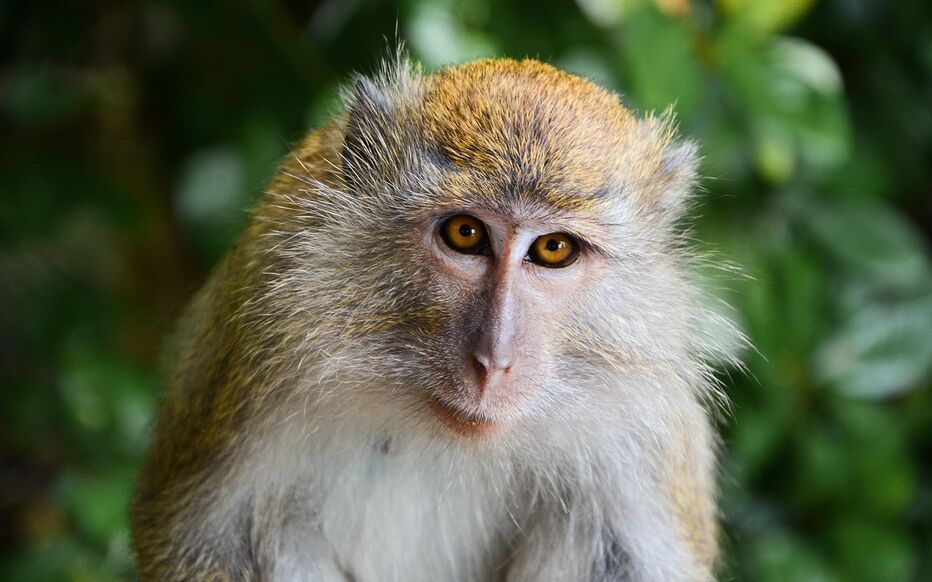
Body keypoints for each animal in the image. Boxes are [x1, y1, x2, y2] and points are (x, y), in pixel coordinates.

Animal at [131, 56, 738, 582]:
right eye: (465, 234)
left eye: (554, 249)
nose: (494, 362)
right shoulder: (266, 330)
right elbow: (202, 537)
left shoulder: (646, 422)